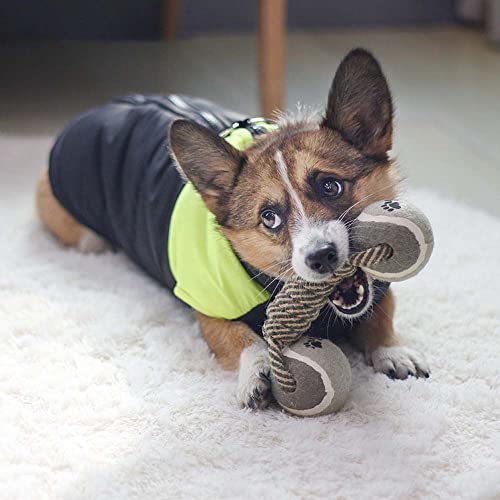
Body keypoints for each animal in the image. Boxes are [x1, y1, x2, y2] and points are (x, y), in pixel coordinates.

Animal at [37, 48, 430, 410]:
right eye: (269, 218)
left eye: (330, 186)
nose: (321, 257)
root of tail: (100, 108)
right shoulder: (209, 309)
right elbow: (239, 338)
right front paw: (256, 372)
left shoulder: (379, 291)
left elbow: (382, 316)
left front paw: (392, 351)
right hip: (84, 234)